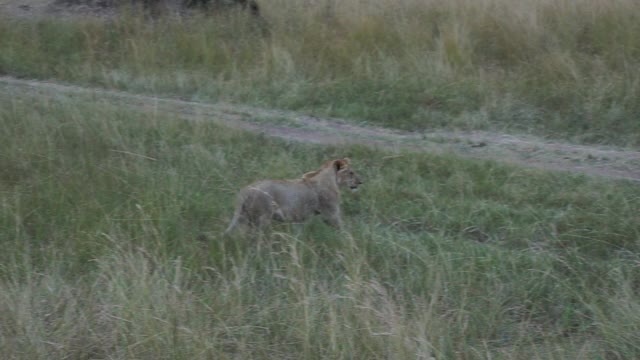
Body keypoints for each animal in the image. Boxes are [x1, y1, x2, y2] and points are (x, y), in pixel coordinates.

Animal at [224, 158, 364, 233]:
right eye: (351, 173)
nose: (360, 182)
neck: (333, 180)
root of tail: (244, 191)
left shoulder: (300, 219)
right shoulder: (331, 214)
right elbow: (342, 228)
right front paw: (350, 240)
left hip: (244, 217)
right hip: (262, 218)